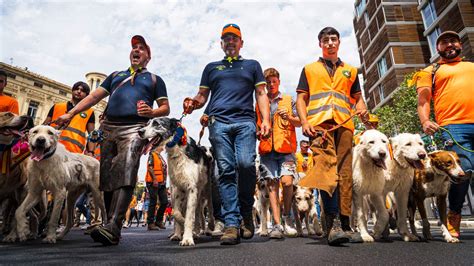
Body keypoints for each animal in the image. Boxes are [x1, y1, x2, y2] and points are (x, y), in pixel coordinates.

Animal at [138, 117, 214, 246]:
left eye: (156, 124)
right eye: (147, 123)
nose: (140, 131)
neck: (178, 149)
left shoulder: (192, 188)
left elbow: (189, 216)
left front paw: (188, 238)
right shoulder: (177, 189)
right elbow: (176, 213)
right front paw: (180, 233)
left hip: (206, 191)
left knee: (207, 210)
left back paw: (208, 228)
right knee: (197, 213)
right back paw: (182, 233)